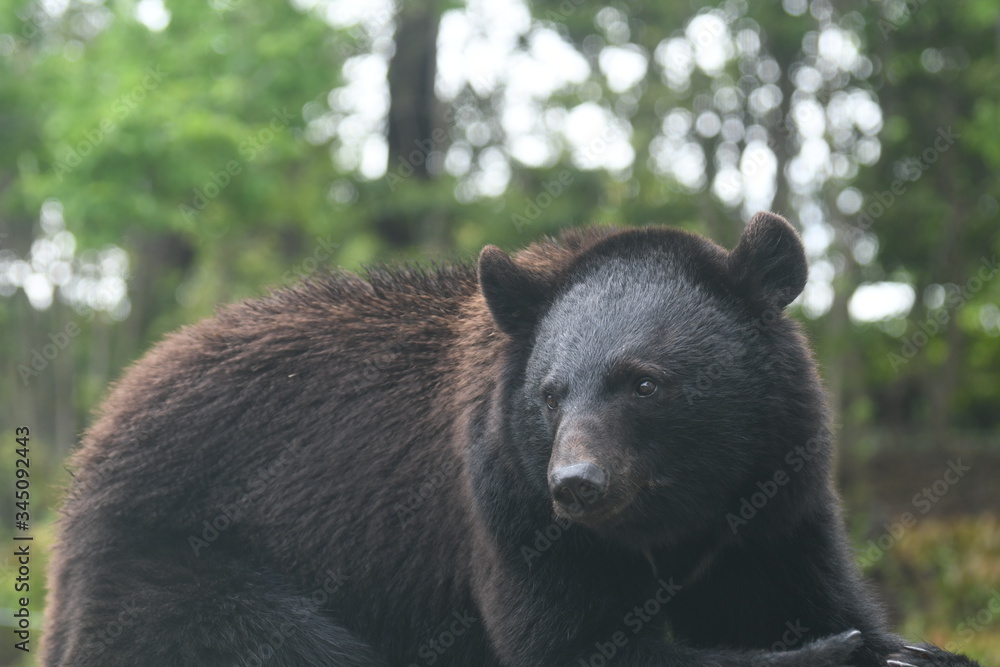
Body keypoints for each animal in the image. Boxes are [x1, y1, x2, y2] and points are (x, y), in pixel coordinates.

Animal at [43, 215, 980, 667]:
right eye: (551, 390)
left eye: (644, 380)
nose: (578, 482)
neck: (676, 520)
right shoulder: (505, 507)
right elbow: (576, 644)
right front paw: (841, 652)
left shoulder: (776, 499)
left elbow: (808, 589)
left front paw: (893, 642)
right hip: (181, 570)